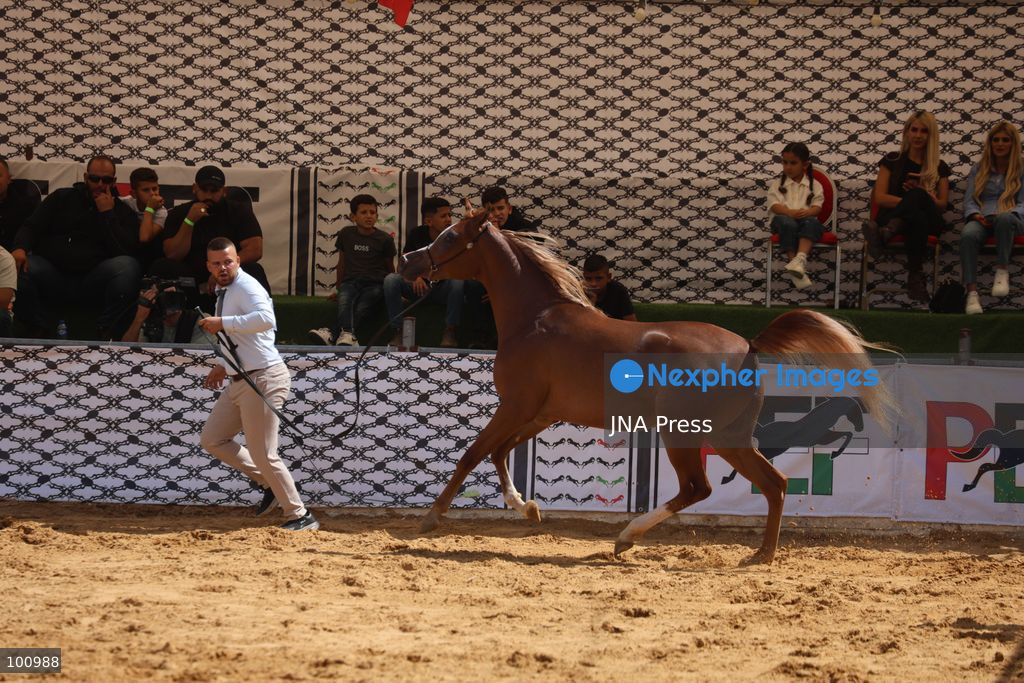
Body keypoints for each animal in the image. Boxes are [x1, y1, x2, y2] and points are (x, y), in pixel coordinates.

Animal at [398, 211, 893, 565]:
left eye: (449, 237)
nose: (407, 262)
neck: (536, 320)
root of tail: (748, 346)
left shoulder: (515, 407)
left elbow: (473, 453)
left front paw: (431, 518)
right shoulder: (539, 413)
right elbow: (500, 454)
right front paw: (529, 508)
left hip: (682, 432)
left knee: (699, 488)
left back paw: (626, 538)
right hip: (728, 437)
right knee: (774, 483)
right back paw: (760, 555)